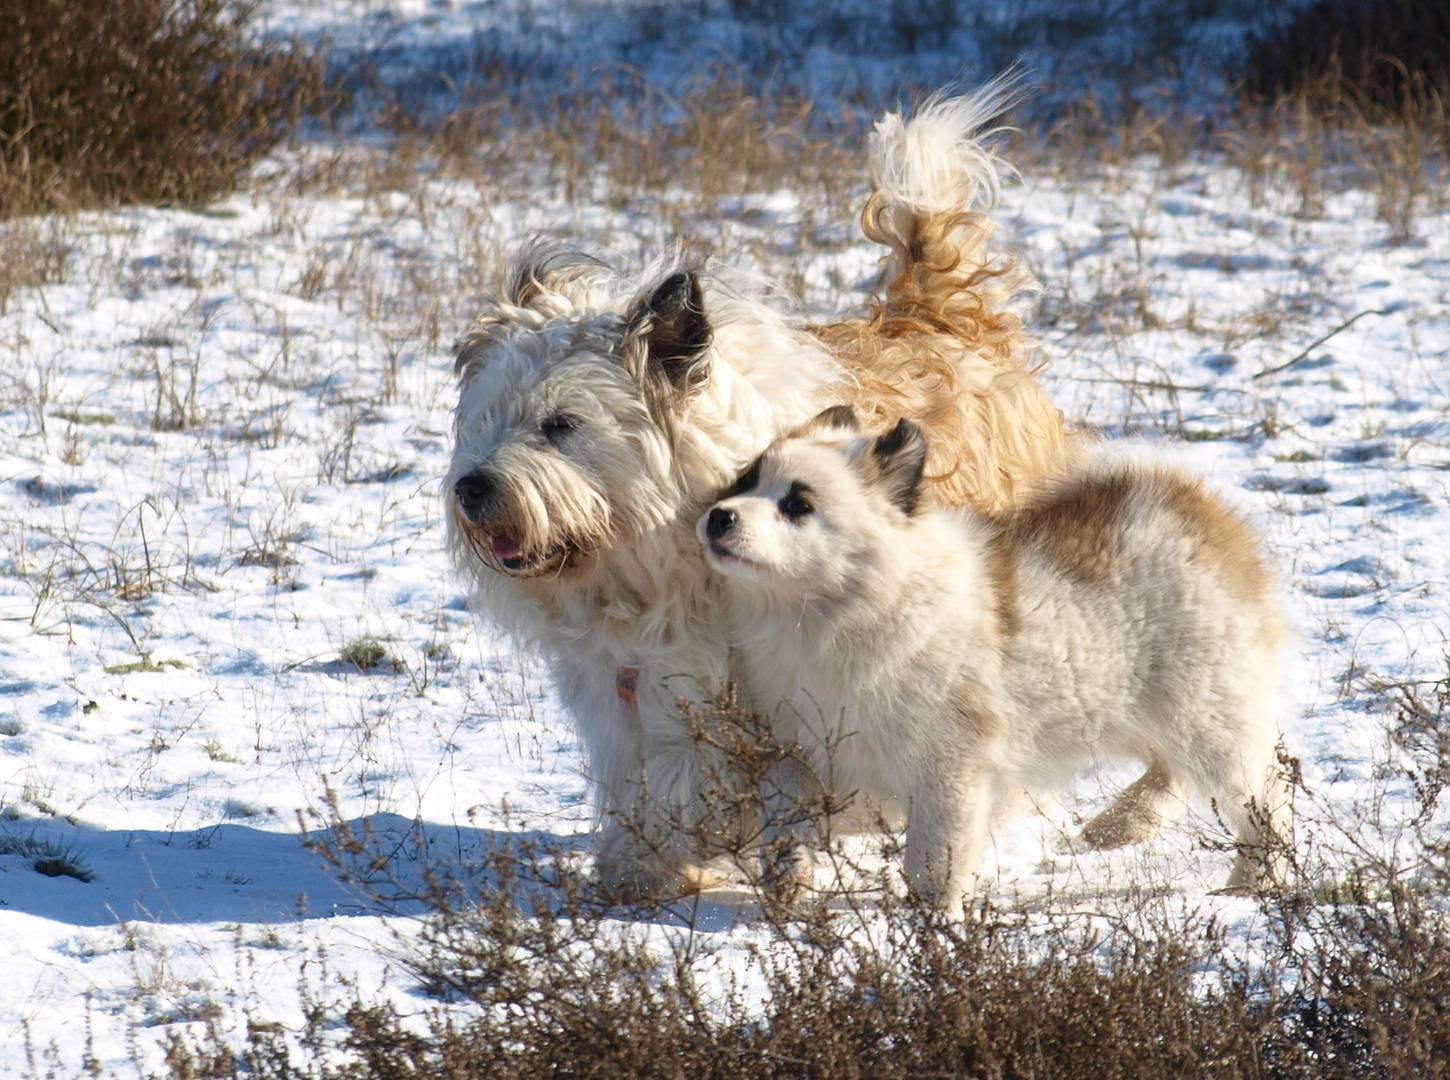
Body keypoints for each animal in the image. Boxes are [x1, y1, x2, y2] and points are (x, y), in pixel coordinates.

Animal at [446, 84, 1073, 892]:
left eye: (561, 424)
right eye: (485, 421)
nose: (472, 488)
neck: (655, 564)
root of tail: (938, 315)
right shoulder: (631, 691)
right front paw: (643, 868)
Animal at [701, 408, 1293, 916]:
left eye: (797, 506)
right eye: (745, 482)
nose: (718, 518)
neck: (828, 611)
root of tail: (1191, 503)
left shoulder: (949, 765)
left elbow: (933, 855)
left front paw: (934, 923)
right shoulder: (797, 747)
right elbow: (786, 821)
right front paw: (786, 883)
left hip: (1209, 712)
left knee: (1264, 795)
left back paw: (1255, 880)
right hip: (1126, 703)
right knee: (1171, 766)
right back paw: (1122, 825)